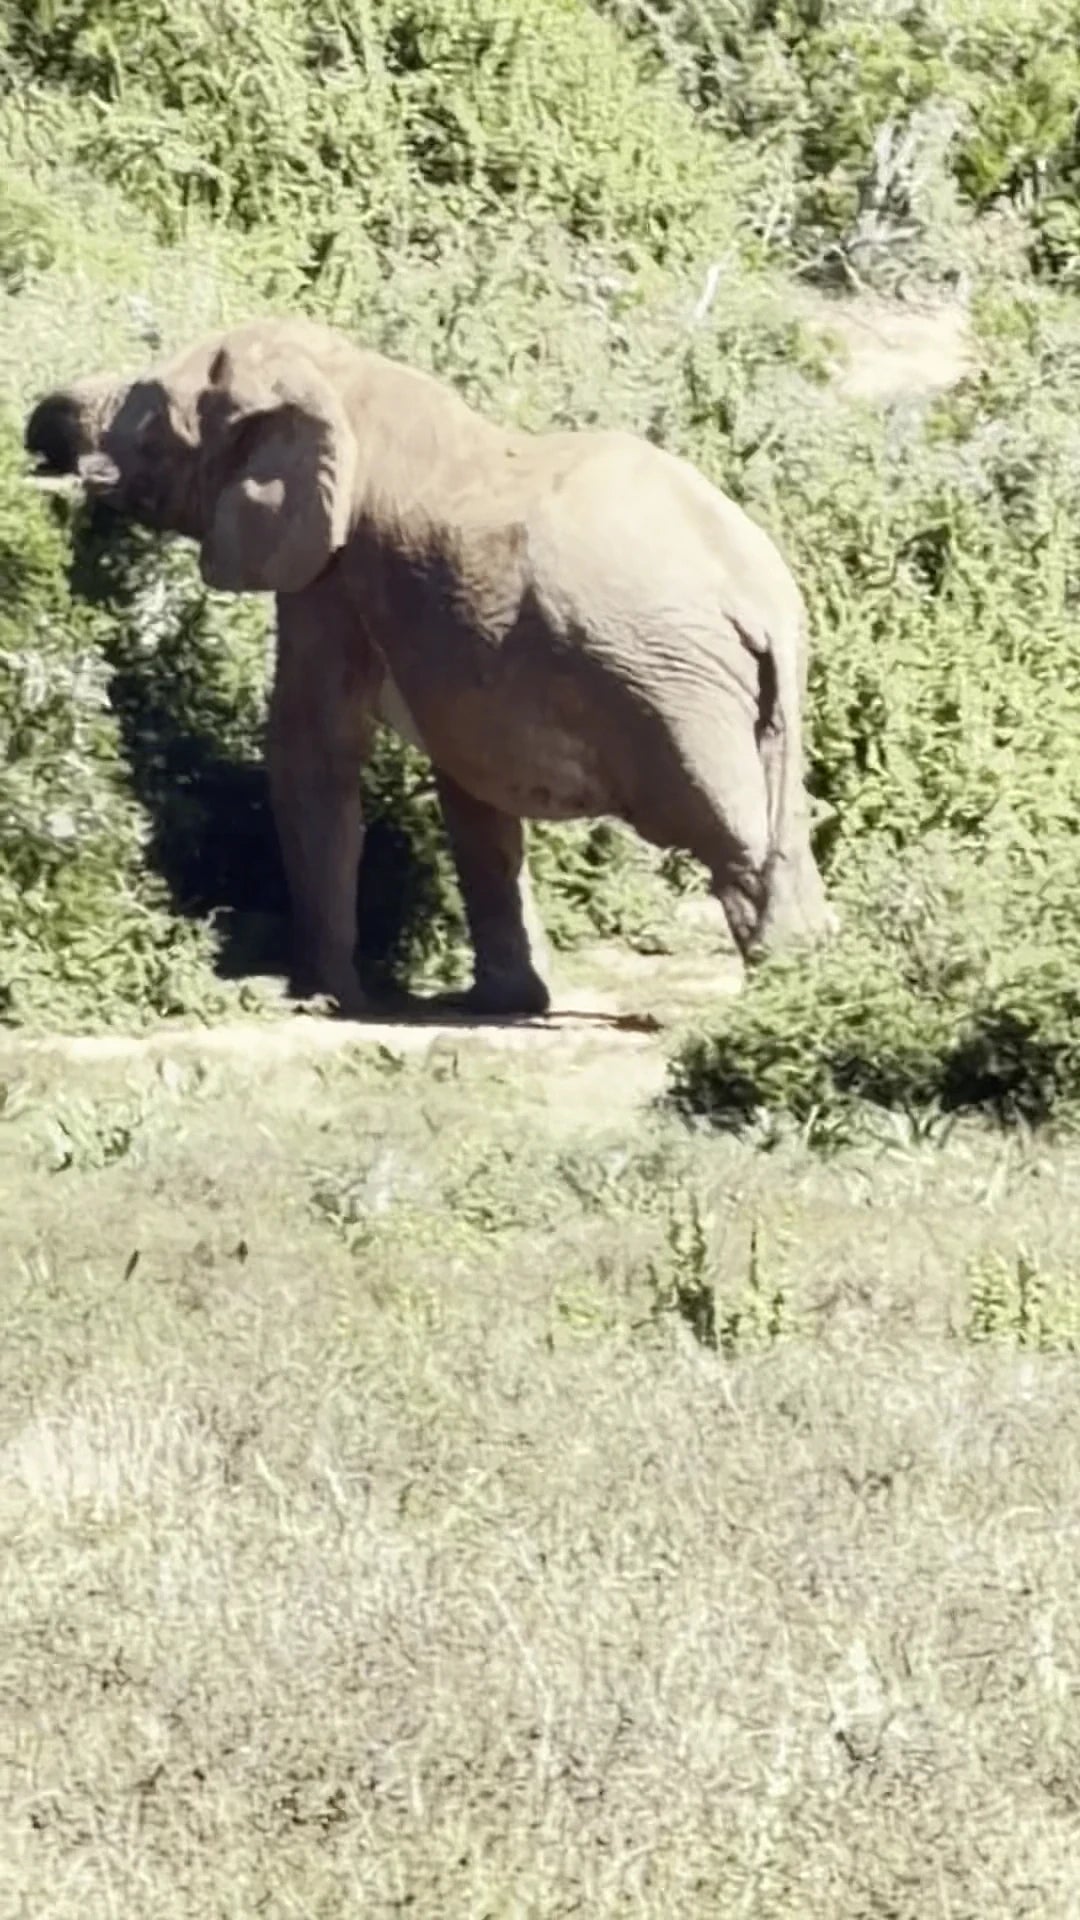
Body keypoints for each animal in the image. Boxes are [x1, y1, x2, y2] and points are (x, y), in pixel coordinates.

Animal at [25, 316, 833, 1020]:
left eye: (154, 422)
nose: (39, 454)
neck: (337, 372)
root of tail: (758, 597)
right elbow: (472, 791)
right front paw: (500, 1004)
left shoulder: (332, 573)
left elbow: (314, 747)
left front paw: (318, 999)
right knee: (784, 831)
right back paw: (810, 984)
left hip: (669, 689)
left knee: (730, 838)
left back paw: (780, 999)